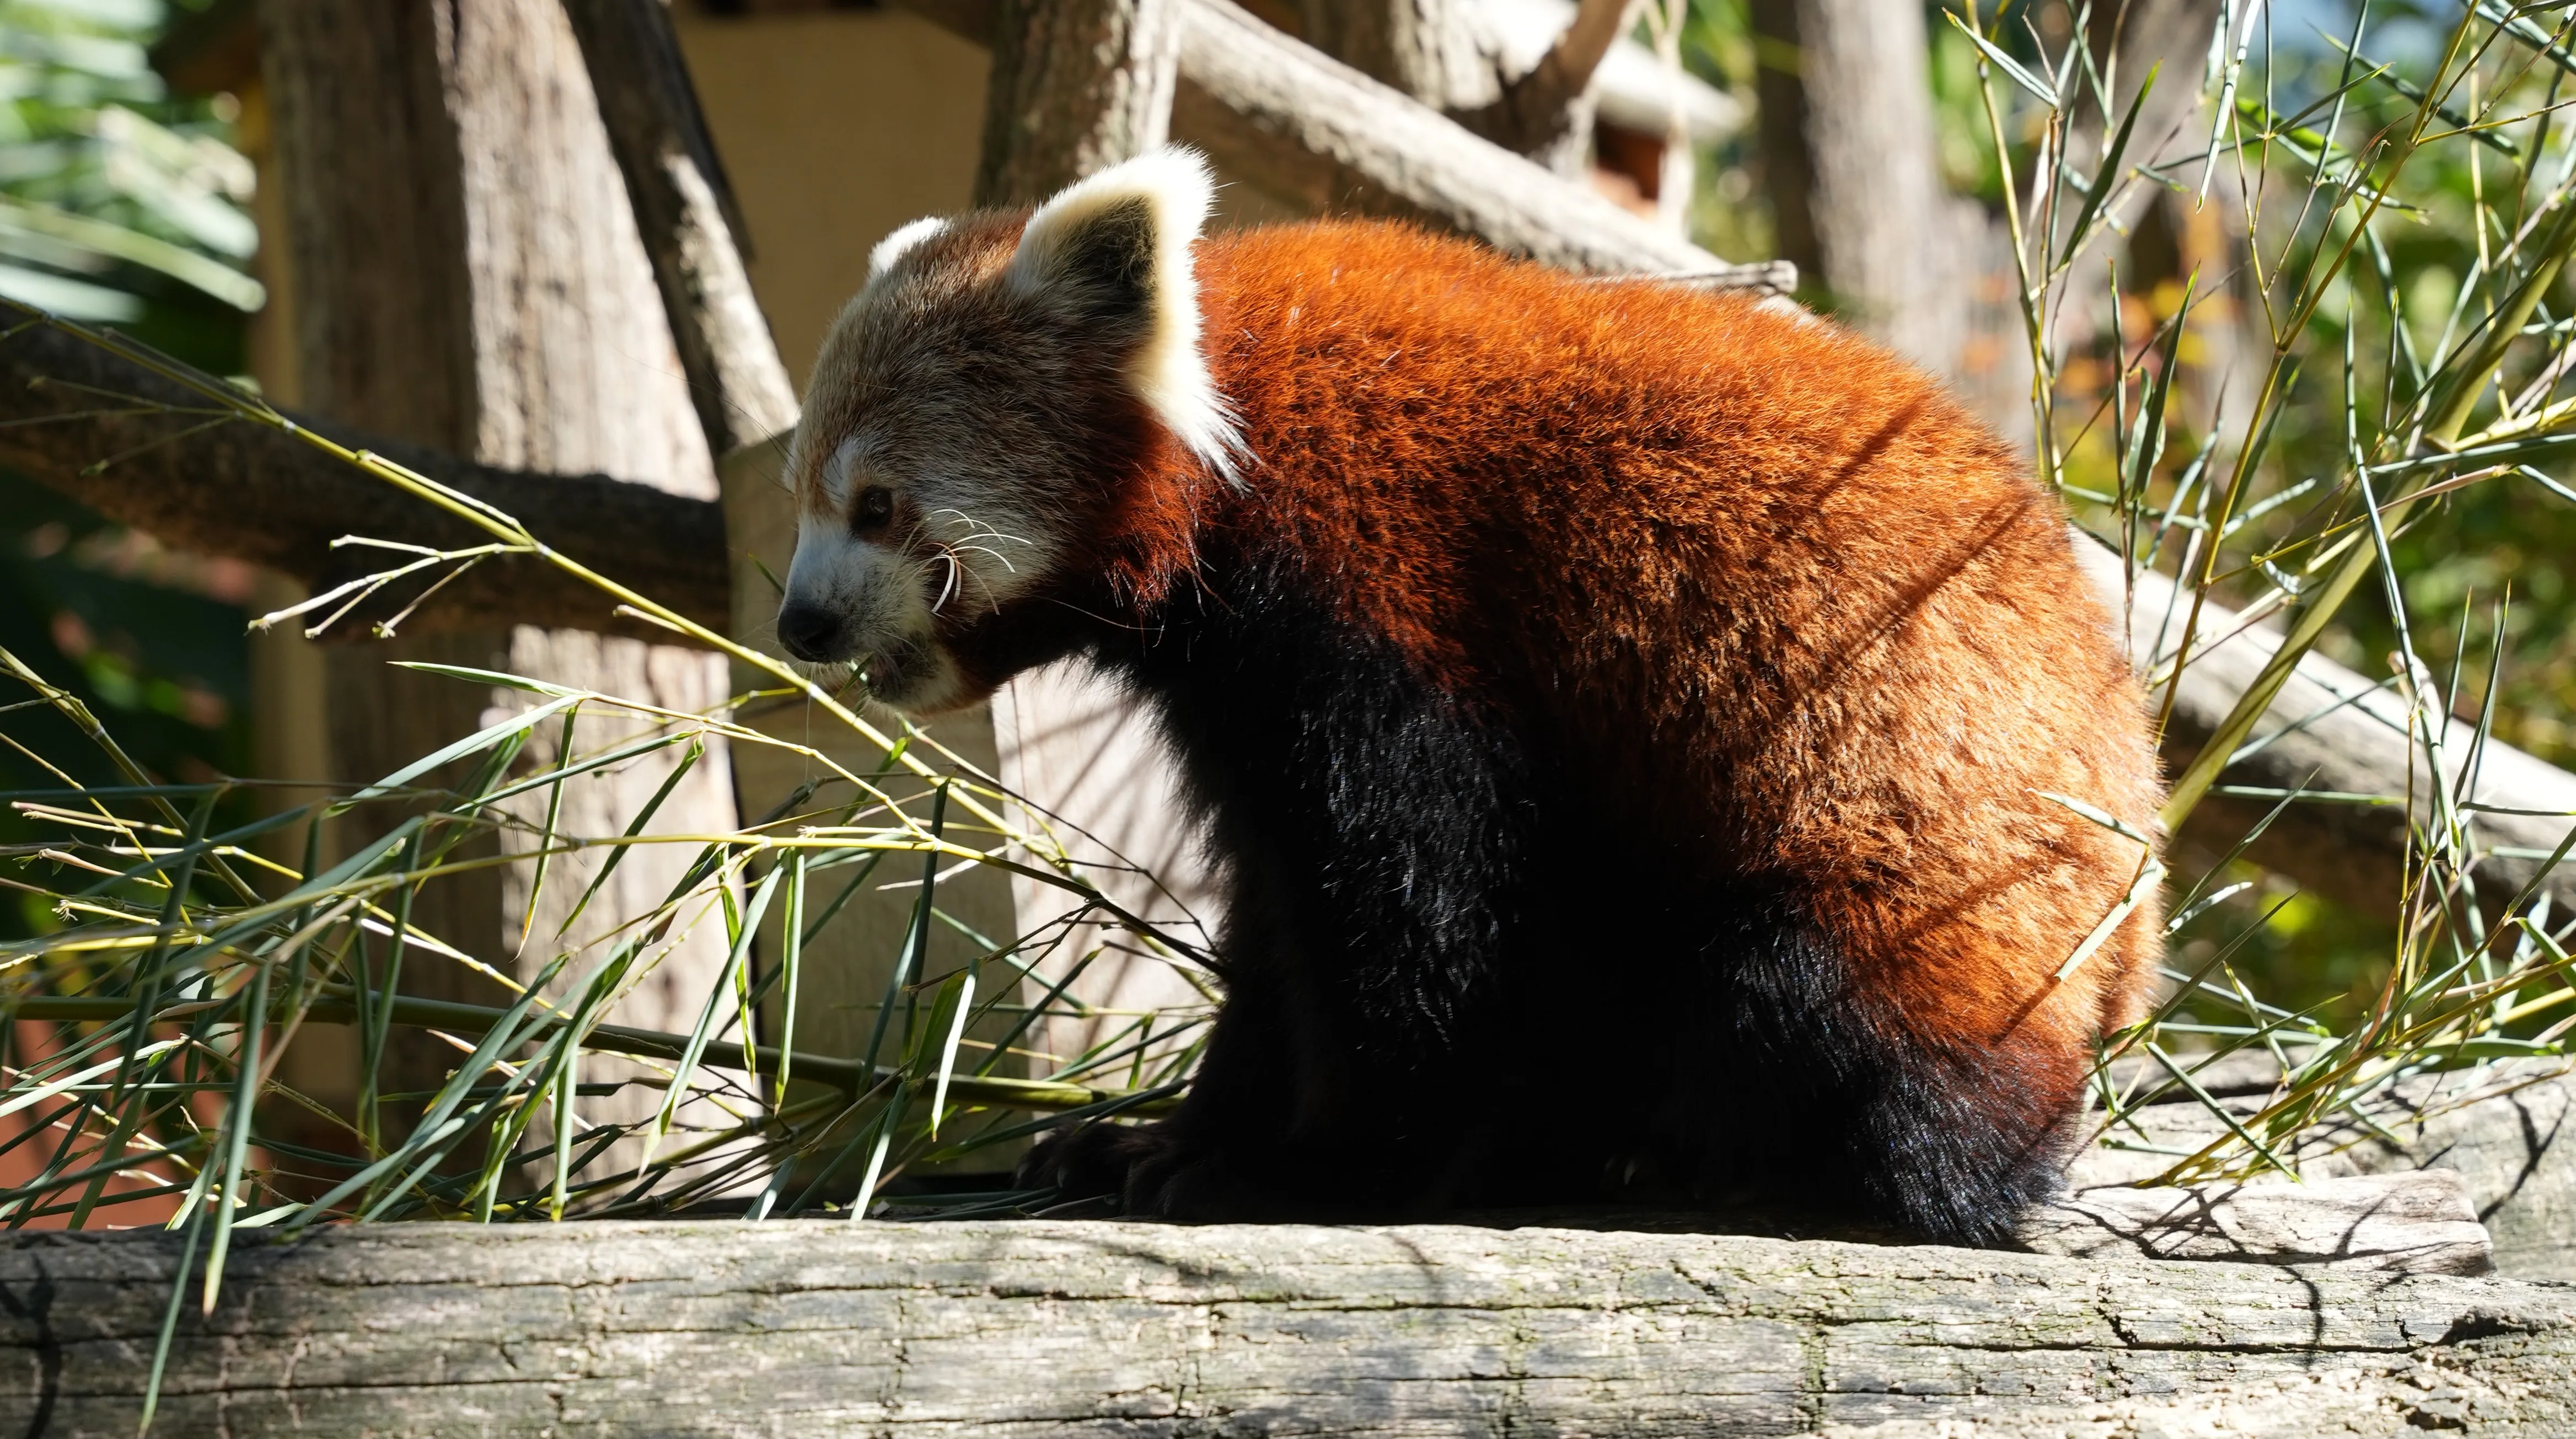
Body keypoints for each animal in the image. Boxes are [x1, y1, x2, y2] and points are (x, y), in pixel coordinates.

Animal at [774, 147, 2163, 1246]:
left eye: (877, 505)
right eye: (803, 491)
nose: (799, 623)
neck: (1230, 435)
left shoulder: (1381, 604)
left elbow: (1417, 912)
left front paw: (1313, 1167)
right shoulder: (1240, 695)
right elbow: (1280, 922)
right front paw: (1165, 1139)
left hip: (1919, 893)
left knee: (1822, 1020)